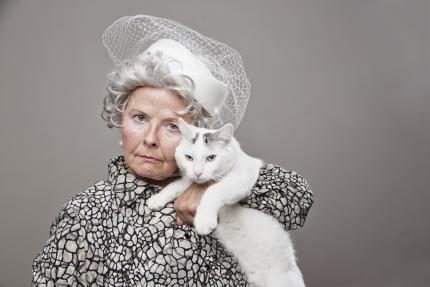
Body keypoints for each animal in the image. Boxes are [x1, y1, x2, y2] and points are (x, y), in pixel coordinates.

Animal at [148, 118, 306, 286]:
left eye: (211, 157)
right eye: (189, 157)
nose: (198, 173)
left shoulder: (240, 178)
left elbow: (213, 190)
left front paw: (203, 220)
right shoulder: (190, 180)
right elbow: (177, 185)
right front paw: (157, 199)